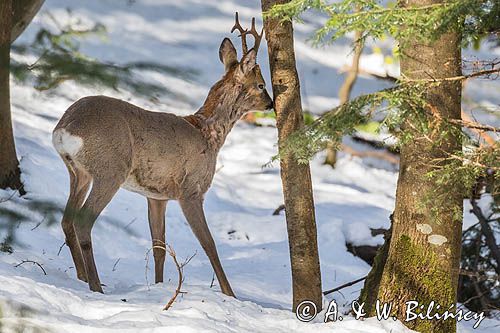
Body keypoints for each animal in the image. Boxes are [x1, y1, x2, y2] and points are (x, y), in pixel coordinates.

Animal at [52, 13, 272, 294]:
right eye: (261, 84)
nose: (271, 103)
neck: (208, 134)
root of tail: (65, 128)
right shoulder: (191, 190)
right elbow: (209, 244)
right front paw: (230, 294)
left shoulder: (157, 196)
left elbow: (159, 247)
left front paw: (158, 286)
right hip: (110, 170)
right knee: (83, 221)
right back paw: (96, 286)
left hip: (79, 172)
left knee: (67, 220)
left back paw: (81, 277)